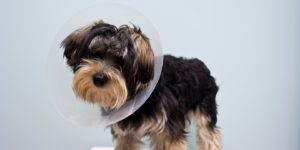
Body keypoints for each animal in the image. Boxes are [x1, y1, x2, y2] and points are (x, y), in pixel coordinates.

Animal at [61, 20, 221, 150]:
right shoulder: (126, 134)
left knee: (210, 135)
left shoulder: (168, 130)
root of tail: (200, 64)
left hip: (205, 108)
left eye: (121, 61)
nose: (99, 78)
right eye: (94, 53)